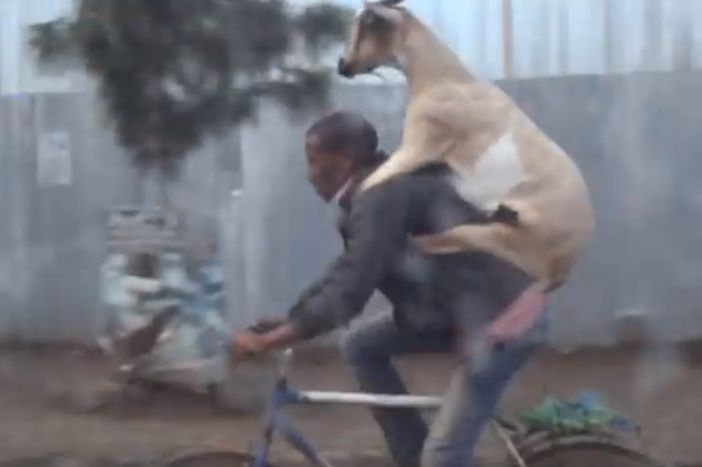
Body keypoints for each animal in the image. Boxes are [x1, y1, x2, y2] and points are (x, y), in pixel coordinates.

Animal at [338, 0, 596, 292]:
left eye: (367, 23)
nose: (342, 65)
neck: (445, 80)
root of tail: (561, 268)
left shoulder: (419, 146)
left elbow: (369, 183)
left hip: (504, 237)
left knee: (441, 242)